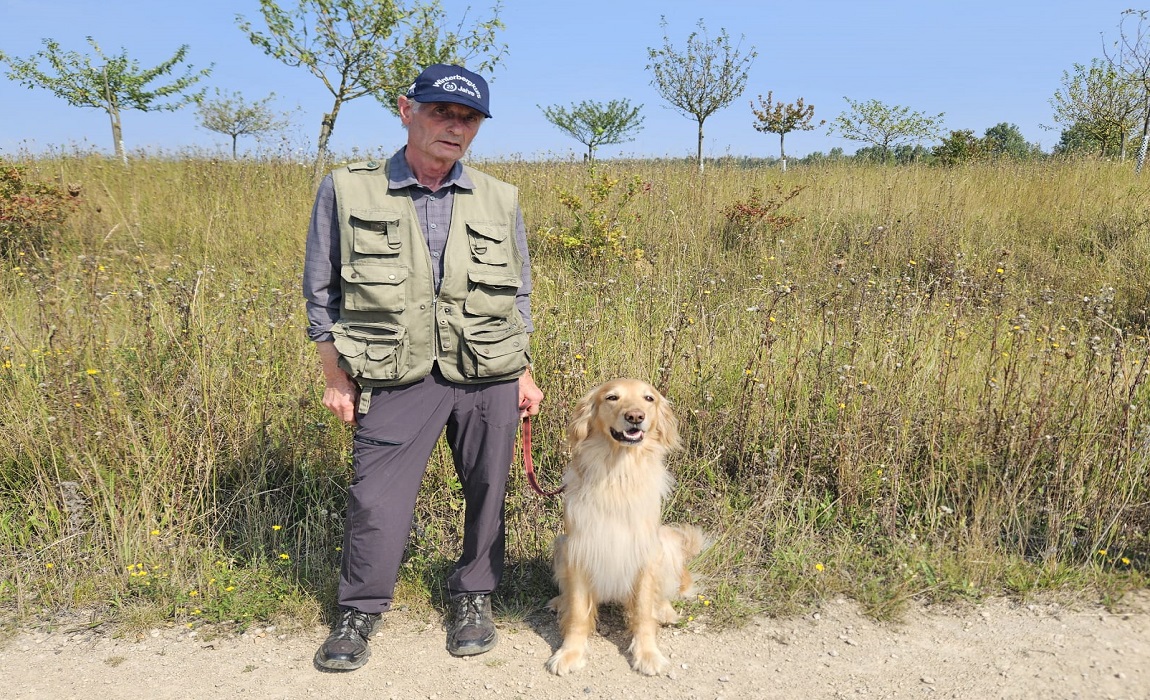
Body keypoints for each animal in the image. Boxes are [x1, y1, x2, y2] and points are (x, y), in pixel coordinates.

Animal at [542, 379, 703, 675]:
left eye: (649, 398)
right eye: (612, 398)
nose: (635, 417)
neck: (617, 474)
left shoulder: (645, 553)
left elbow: (643, 612)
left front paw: (647, 653)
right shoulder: (579, 549)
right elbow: (578, 613)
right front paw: (570, 652)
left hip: (668, 541)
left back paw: (665, 610)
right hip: (560, 544)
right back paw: (560, 602)